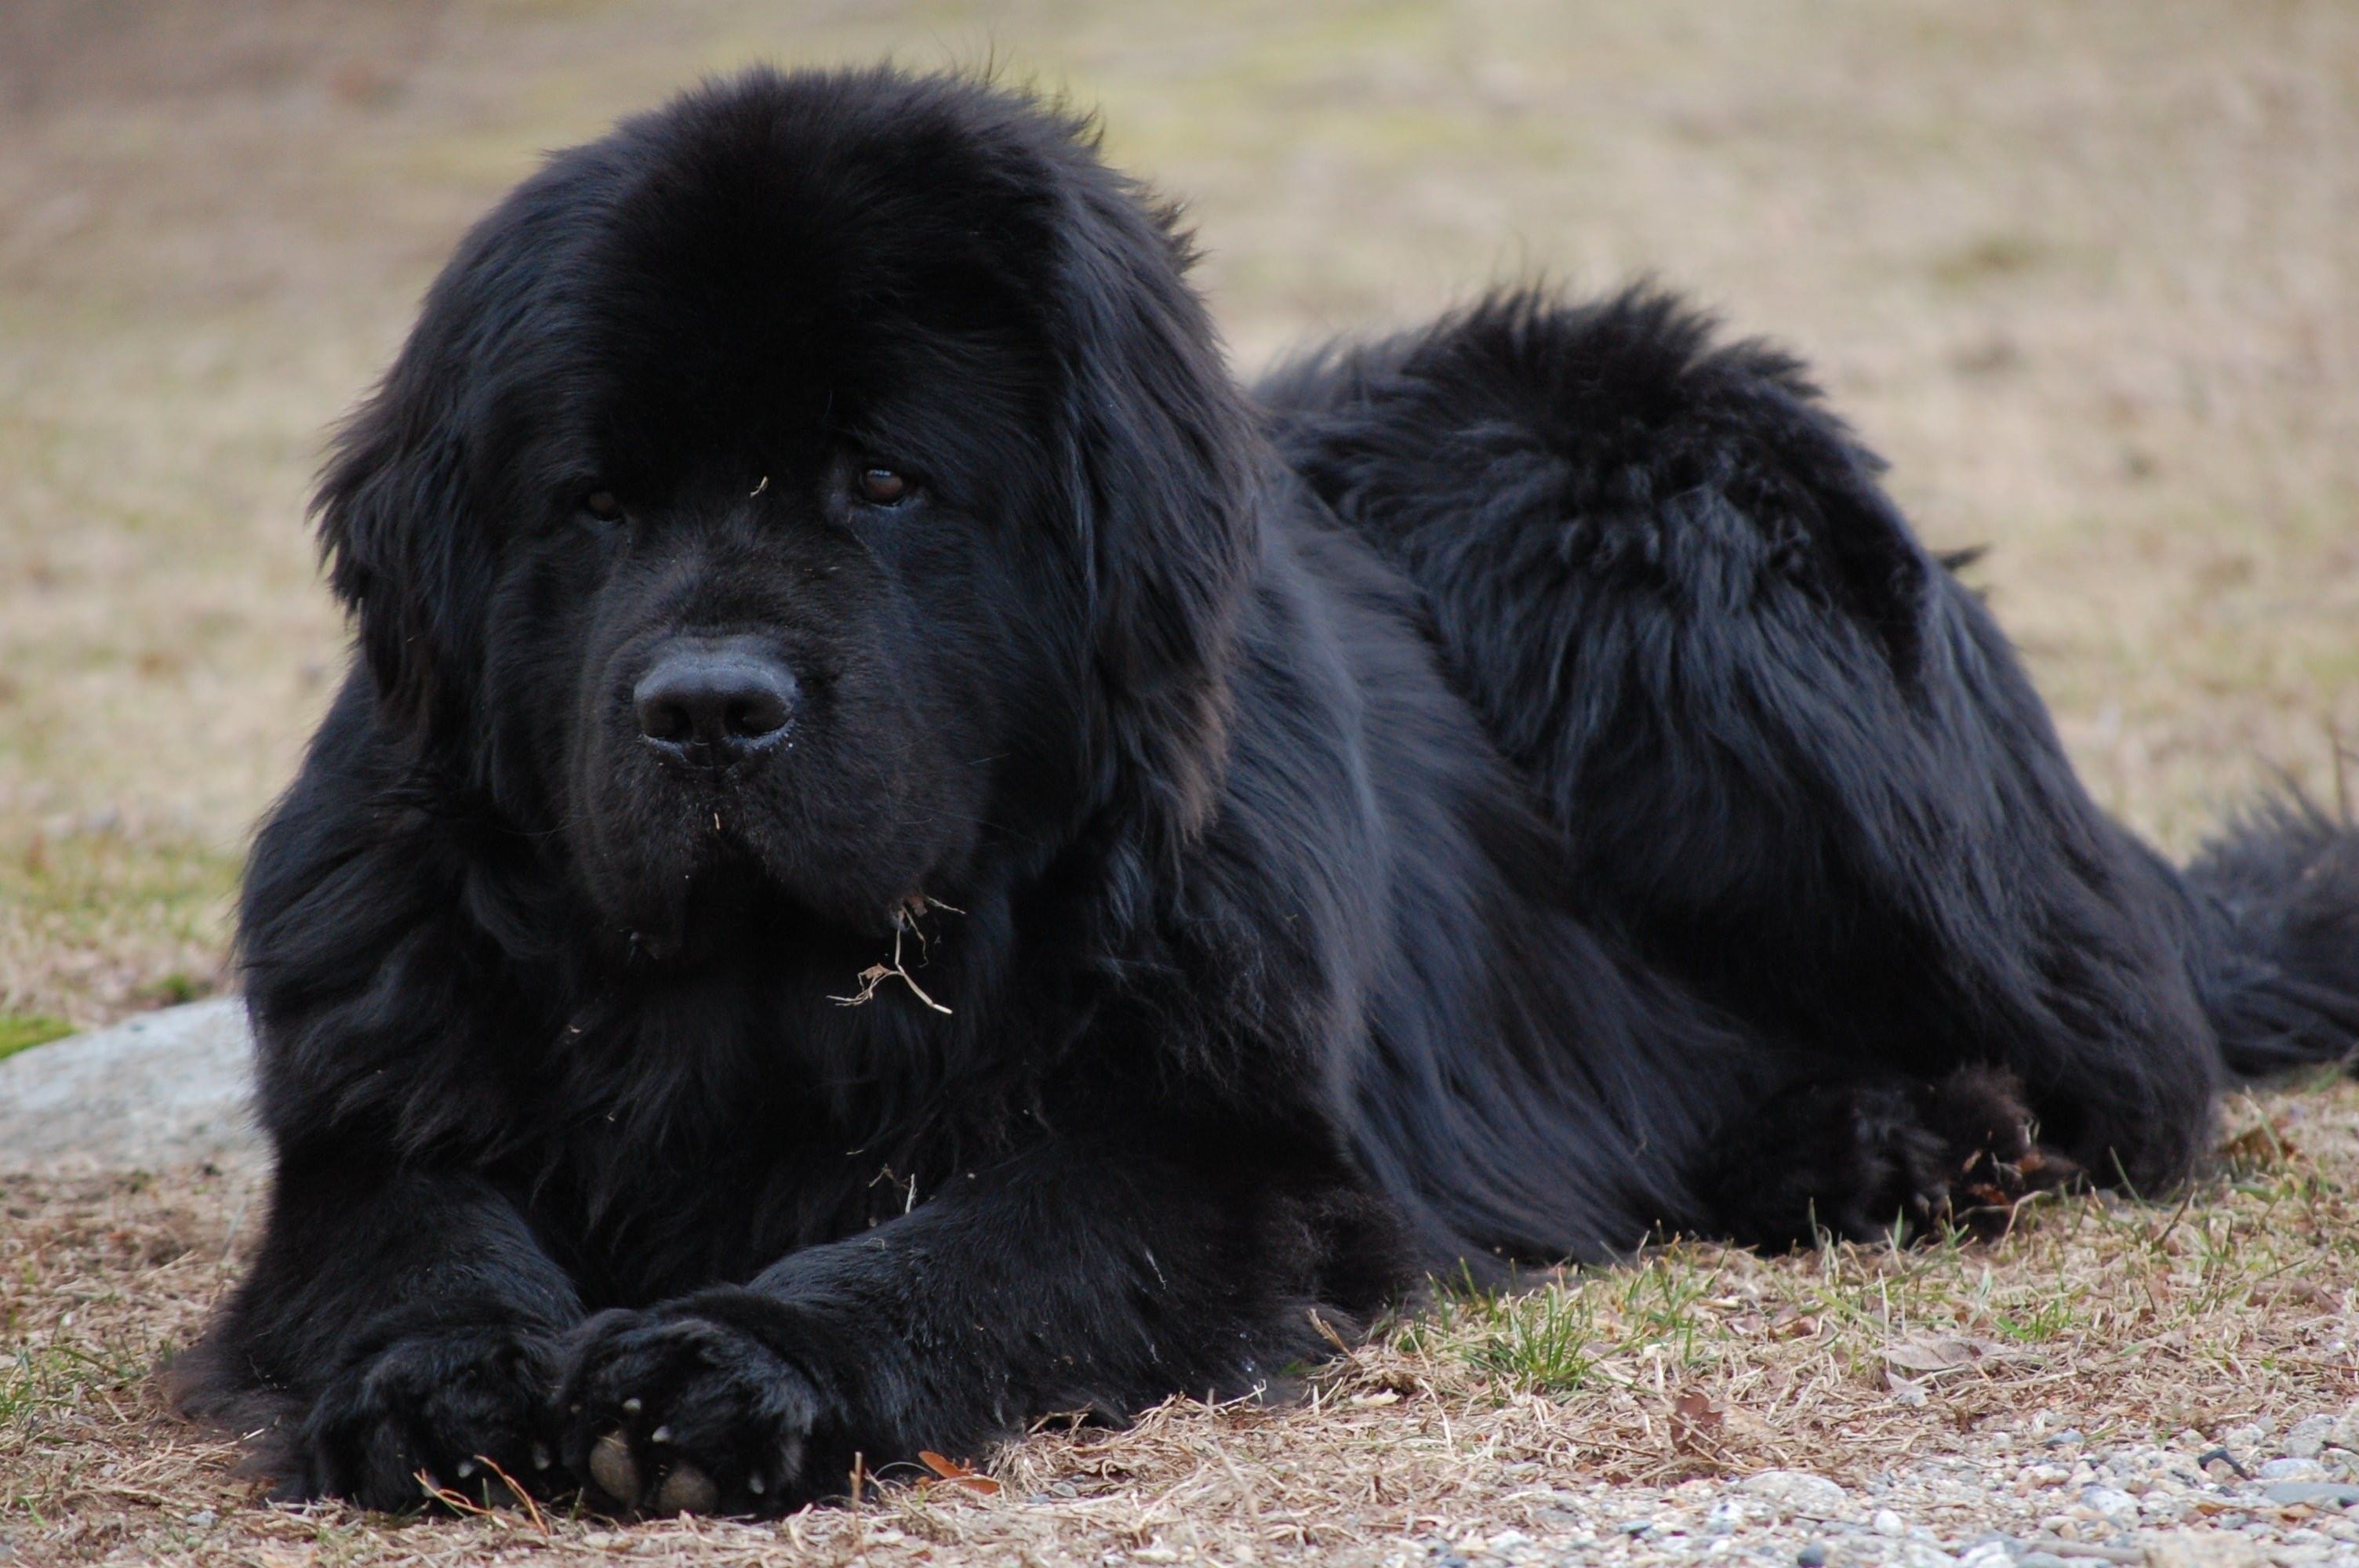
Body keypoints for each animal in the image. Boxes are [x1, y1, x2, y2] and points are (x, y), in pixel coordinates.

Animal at [184, 67, 2359, 1508]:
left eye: (882, 479)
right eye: (596, 502)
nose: (709, 708)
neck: (773, 1003)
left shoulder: (1208, 1147)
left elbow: (969, 1248)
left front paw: (737, 1359)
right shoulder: (375, 1102)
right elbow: (407, 1226)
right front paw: (445, 1373)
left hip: (1651, 552)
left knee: (2126, 1053)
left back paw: (1897, 1139)